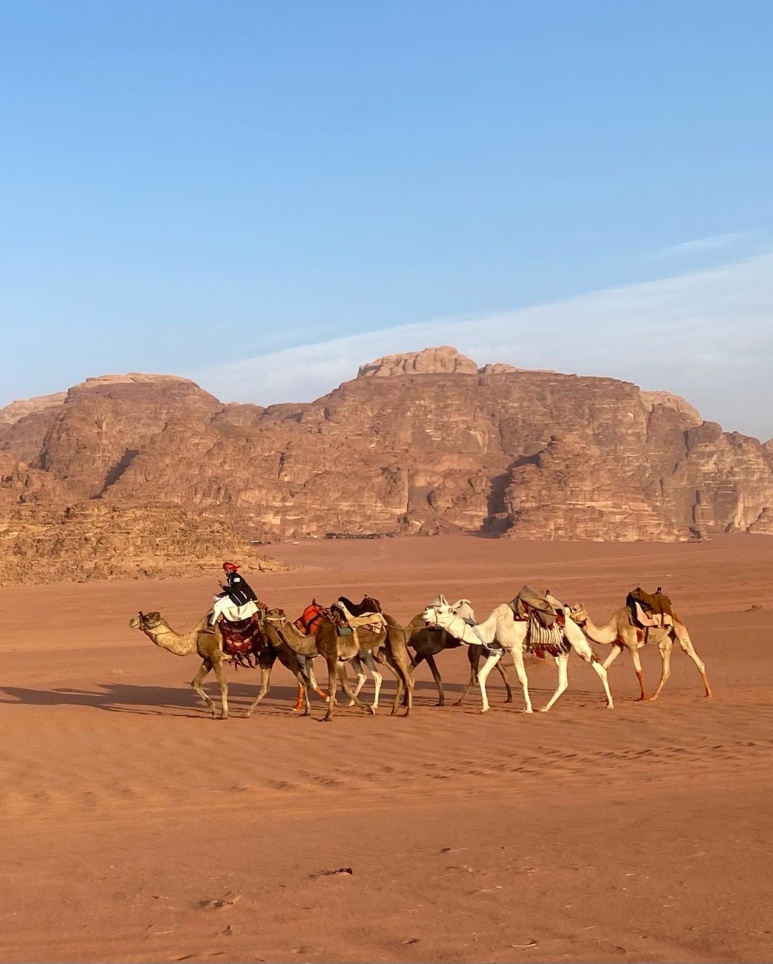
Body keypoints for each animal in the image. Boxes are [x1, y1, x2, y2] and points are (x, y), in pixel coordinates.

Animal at [130, 612, 314, 720]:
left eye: (147, 618)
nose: (131, 621)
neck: (194, 638)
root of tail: (288, 623)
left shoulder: (216, 657)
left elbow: (223, 685)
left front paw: (224, 714)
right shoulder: (207, 659)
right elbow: (195, 683)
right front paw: (213, 710)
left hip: (283, 651)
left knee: (302, 679)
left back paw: (307, 711)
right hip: (267, 655)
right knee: (266, 686)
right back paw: (247, 712)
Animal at [255, 612, 414, 724]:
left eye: (271, 613)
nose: (259, 617)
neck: (313, 640)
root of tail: (396, 623)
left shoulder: (331, 656)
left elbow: (332, 687)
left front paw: (327, 716)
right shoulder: (339, 660)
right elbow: (345, 687)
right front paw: (368, 708)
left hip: (395, 643)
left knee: (408, 678)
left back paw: (407, 712)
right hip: (382, 653)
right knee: (399, 677)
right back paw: (394, 709)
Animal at [420, 596, 612, 716]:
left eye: (441, 611)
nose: (424, 613)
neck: (491, 627)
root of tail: (568, 615)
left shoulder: (514, 649)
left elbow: (522, 678)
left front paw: (527, 709)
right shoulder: (497, 649)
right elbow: (482, 674)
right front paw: (484, 707)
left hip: (576, 639)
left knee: (599, 668)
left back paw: (609, 703)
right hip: (560, 649)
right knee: (563, 680)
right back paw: (545, 708)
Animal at [568, 604, 712, 700]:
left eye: (575, 608)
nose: (564, 609)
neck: (614, 626)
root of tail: (674, 612)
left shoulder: (632, 645)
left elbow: (638, 670)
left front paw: (642, 697)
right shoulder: (618, 646)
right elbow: (605, 666)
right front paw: (608, 696)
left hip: (679, 629)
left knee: (694, 656)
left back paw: (709, 693)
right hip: (666, 638)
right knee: (665, 667)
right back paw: (654, 696)